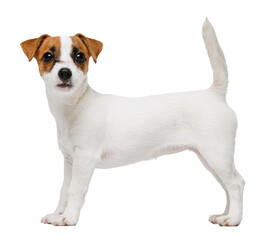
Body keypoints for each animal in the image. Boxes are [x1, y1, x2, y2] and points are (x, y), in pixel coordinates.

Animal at [20, 19, 244, 227]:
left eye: (79, 56)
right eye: (48, 56)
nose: (65, 73)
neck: (74, 107)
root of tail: (215, 94)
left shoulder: (85, 159)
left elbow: (75, 190)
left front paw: (69, 217)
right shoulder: (70, 161)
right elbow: (64, 190)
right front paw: (57, 214)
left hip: (216, 154)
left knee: (236, 183)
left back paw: (233, 218)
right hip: (210, 159)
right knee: (228, 185)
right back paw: (224, 214)